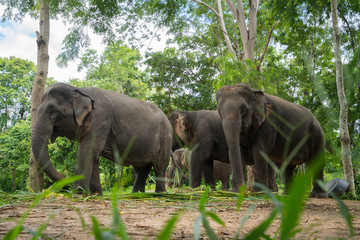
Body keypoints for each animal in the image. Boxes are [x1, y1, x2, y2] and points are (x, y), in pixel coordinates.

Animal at [31, 82, 172, 195]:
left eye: (53, 110)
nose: (64, 177)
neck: (79, 90)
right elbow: (93, 155)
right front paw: (96, 194)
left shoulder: (100, 120)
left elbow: (88, 151)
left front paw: (79, 193)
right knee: (141, 169)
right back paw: (136, 194)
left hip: (165, 138)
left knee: (159, 167)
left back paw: (160, 194)